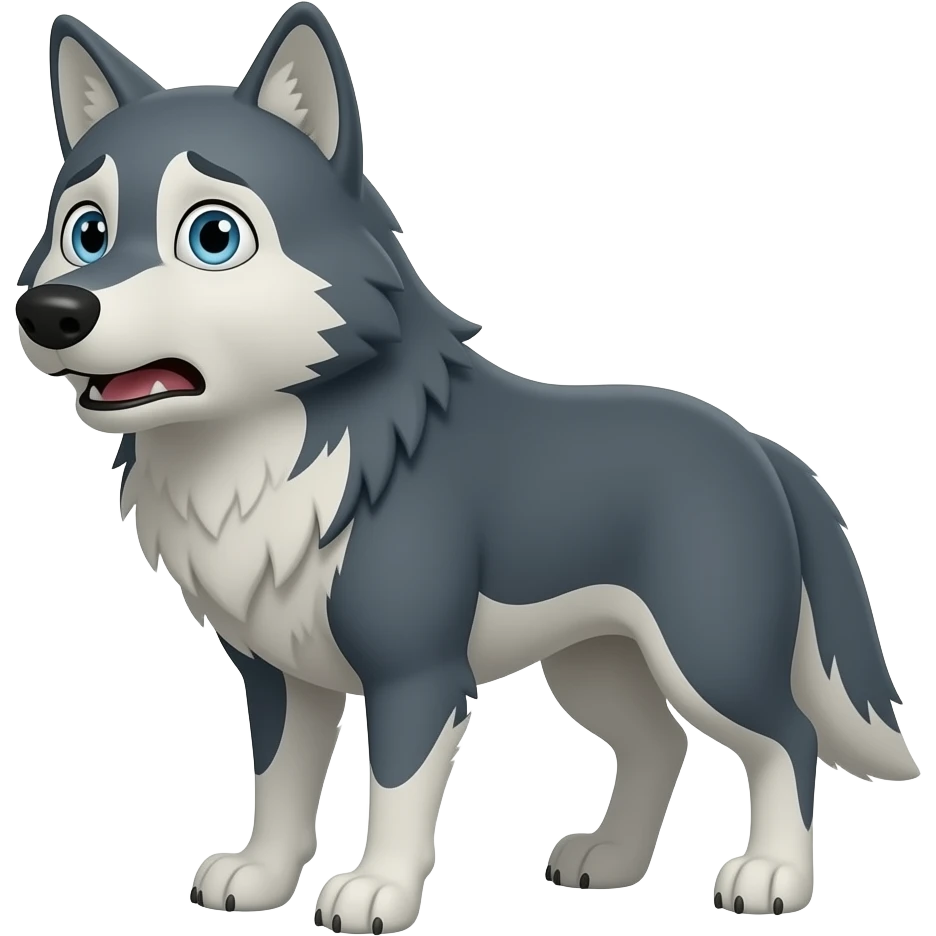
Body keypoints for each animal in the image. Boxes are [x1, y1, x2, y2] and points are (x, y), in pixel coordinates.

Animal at [15, 3, 917, 931]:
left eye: (213, 236)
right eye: (85, 233)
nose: (50, 312)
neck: (266, 454)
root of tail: (759, 445)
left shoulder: (418, 674)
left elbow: (395, 790)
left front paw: (377, 890)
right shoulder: (278, 674)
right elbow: (279, 784)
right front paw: (260, 878)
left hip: (707, 651)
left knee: (788, 737)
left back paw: (772, 878)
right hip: (595, 661)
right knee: (659, 741)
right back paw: (609, 861)